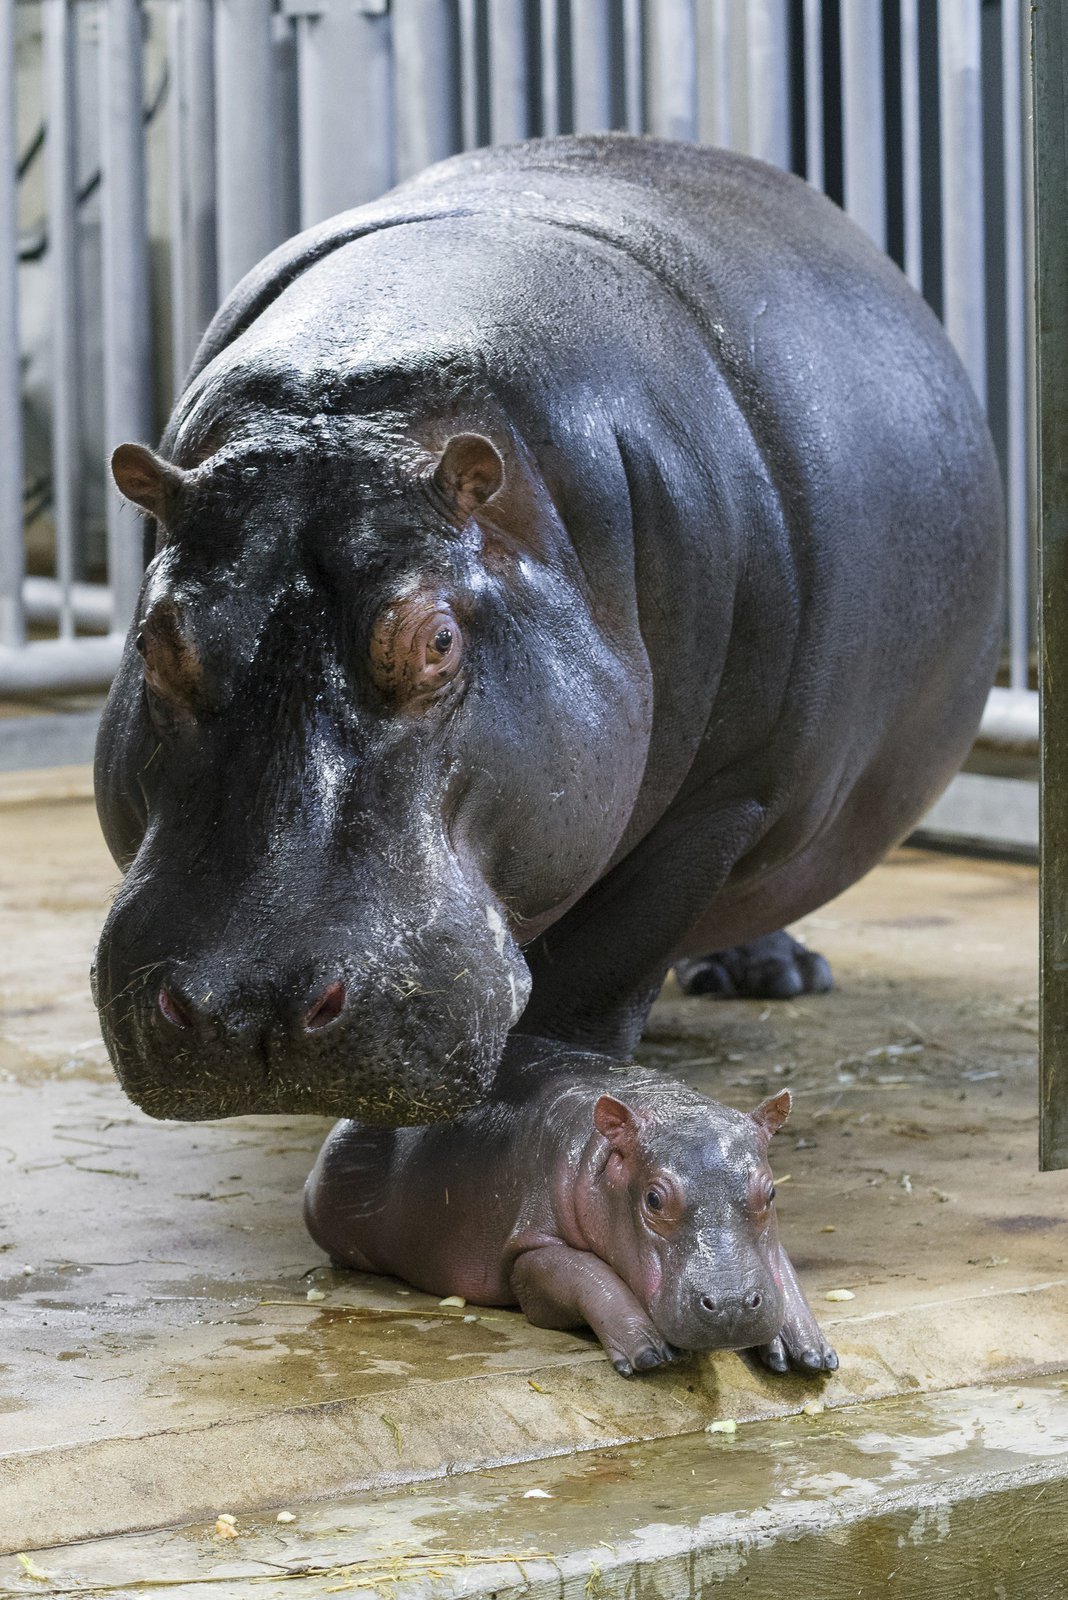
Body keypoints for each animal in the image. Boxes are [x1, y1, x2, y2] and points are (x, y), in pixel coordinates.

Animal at [91, 134, 1004, 1126]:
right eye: (154, 640)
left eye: (438, 642)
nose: (248, 1002)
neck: (353, 403)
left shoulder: (725, 797)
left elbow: (599, 974)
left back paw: (776, 976)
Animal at [303, 1036, 837, 1376]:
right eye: (654, 1198)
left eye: (771, 1192)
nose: (730, 1305)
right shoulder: (528, 1251)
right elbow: (585, 1273)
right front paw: (647, 1352)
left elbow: (780, 1264)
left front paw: (809, 1350)